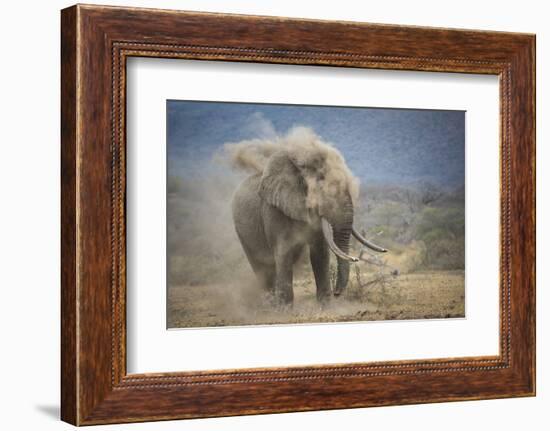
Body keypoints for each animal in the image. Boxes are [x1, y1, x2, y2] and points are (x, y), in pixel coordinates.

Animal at [232, 138, 388, 308]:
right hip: (242, 232)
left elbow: (320, 252)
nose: (337, 293)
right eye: (321, 185)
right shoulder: (273, 210)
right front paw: (285, 310)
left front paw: (325, 306)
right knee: (261, 267)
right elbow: (284, 253)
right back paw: (270, 305)